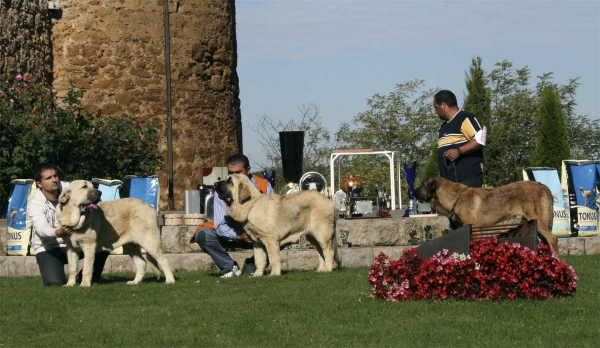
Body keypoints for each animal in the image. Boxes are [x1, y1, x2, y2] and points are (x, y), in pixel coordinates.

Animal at [412, 177, 556, 253]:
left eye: (423, 185)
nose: (412, 191)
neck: (456, 198)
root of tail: (545, 187)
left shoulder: (474, 227)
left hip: (539, 222)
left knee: (553, 239)